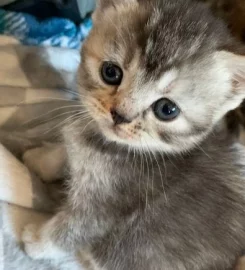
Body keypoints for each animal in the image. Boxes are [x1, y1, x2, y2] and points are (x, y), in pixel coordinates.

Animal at [22, 0, 245, 268]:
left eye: (166, 109)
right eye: (110, 72)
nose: (120, 116)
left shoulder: (104, 209)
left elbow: (70, 231)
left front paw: (36, 241)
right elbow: (63, 152)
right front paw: (40, 160)